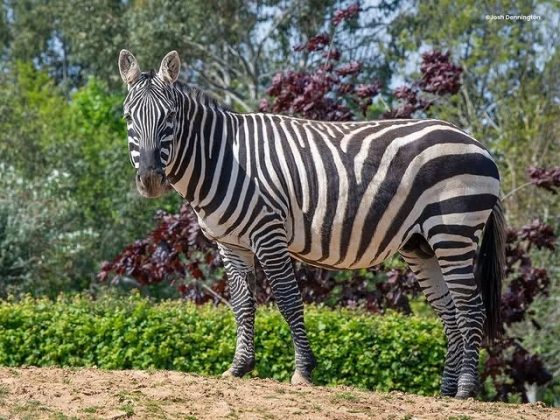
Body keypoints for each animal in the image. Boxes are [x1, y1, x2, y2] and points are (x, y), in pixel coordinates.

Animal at [119, 50, 508, 398]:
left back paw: (465, 390)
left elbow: (289, 299)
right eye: (127, 118)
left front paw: (303, 371)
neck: (221, 159)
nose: (150, 180)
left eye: (170, 117)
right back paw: (446, 390)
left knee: (471, 308)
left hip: (453, 231)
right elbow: (242, 304)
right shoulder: (230, 243)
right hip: (421, 245)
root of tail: (478, 144)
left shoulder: (268, 233)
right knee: (449, 310)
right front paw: (239, 367)